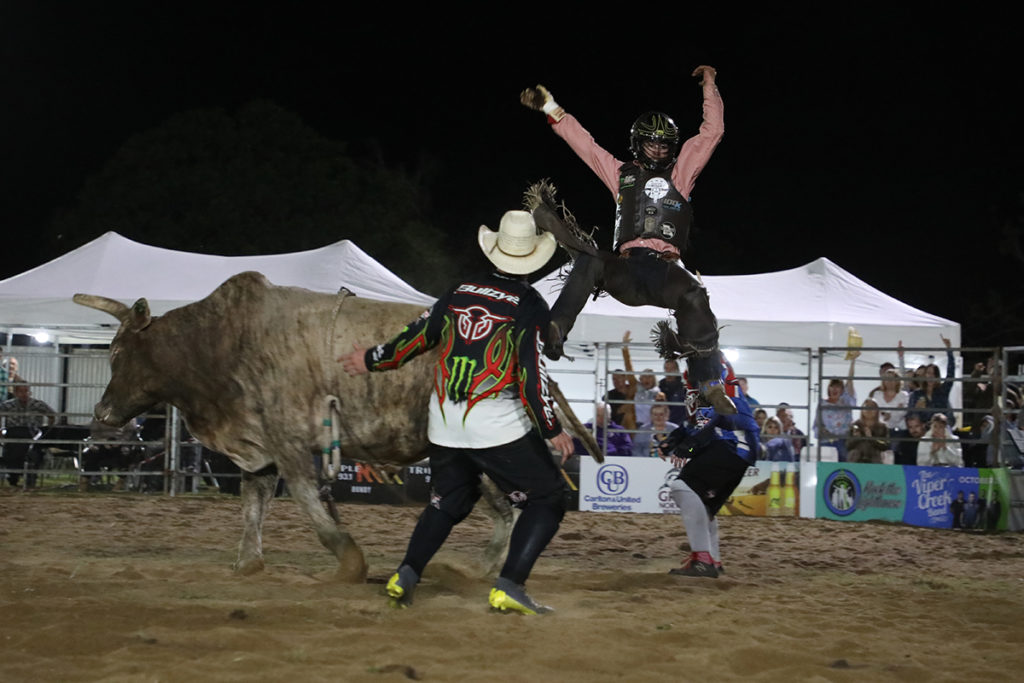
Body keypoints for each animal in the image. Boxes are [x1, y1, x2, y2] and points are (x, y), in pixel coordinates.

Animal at [74, 270, 598, 581]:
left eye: (118, 353)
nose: (101, 413)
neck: (221, 341)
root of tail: (535, 361)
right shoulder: (259, 446)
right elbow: (253, 505)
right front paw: (248, 561)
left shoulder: (288, 440)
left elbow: (307, 499)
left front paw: (349, 558)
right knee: (503, 509)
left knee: (510, 505)